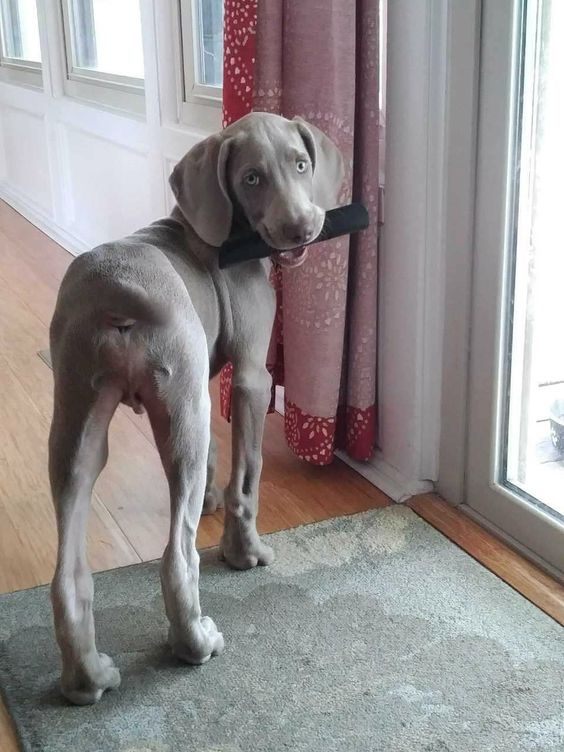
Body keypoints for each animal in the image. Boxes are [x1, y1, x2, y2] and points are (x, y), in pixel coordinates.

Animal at [48, 113, 344, 704]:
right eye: (252, 178)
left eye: (301, 164)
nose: (302, 228)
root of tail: (116, 288)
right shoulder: (251, 377)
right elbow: (247, 478)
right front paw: (245, 554)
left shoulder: (203, 377)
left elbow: (211, 466)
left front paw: (206, 500)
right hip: (177, 402)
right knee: (177, 556)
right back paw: (195, 643)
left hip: (81, 421)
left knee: (68, 573)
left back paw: (87, 679)